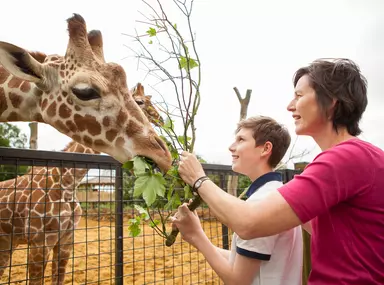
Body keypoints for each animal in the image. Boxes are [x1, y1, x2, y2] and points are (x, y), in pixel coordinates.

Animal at [0, 13, 171, 284]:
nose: (163, 155)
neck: (68, 182)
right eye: (86, 91)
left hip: (8, 242)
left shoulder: (65, 241)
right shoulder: (39, 243)